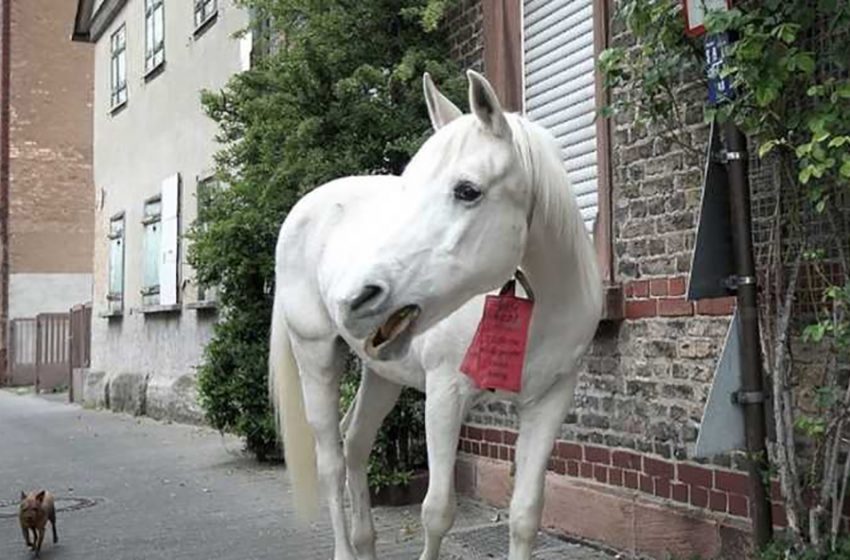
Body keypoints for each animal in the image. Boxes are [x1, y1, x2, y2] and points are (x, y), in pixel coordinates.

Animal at [268, 71, 600, 560]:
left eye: (468, 190)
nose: (356, 299)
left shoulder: (549, 401)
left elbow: (525, 515)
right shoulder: (445, 394)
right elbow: (438, 511)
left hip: (381, 371)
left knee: (355, 443)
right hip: (316, 358)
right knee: (330, 460)